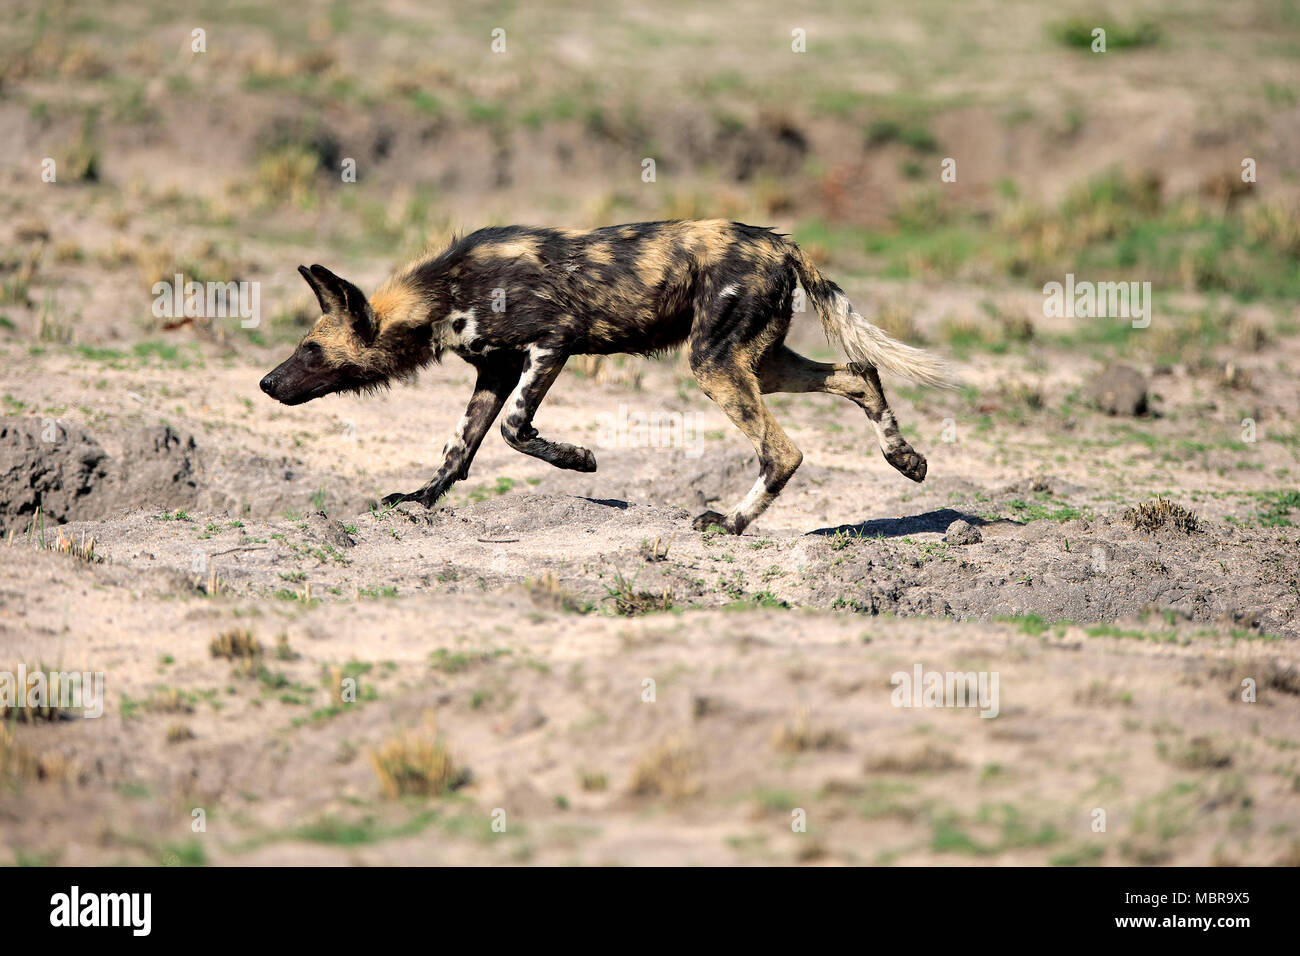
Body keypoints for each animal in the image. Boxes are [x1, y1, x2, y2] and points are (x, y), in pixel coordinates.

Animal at [261, 221, 956, 535]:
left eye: (311, 350)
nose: (268, 384)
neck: (443, 293)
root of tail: (781, 242)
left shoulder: (552, 345)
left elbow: (514, 430)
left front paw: (580, 460)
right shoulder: (495, 370)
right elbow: (460, 448)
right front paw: (421, 500)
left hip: (714, 365)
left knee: (783, 451)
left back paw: (730, 524)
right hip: (759, 362)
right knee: (860, 372)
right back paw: (905, 459)